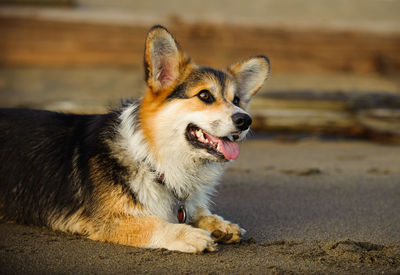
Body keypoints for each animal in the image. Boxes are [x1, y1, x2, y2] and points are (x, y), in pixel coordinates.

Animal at [0, 24, 270, 253]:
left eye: (236, 100)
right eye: (204, 95)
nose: (245, 120)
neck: (152, 157)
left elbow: (199, 210)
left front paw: (220, 224)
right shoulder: (111, 221)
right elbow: (155, 223)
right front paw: (189, 234)